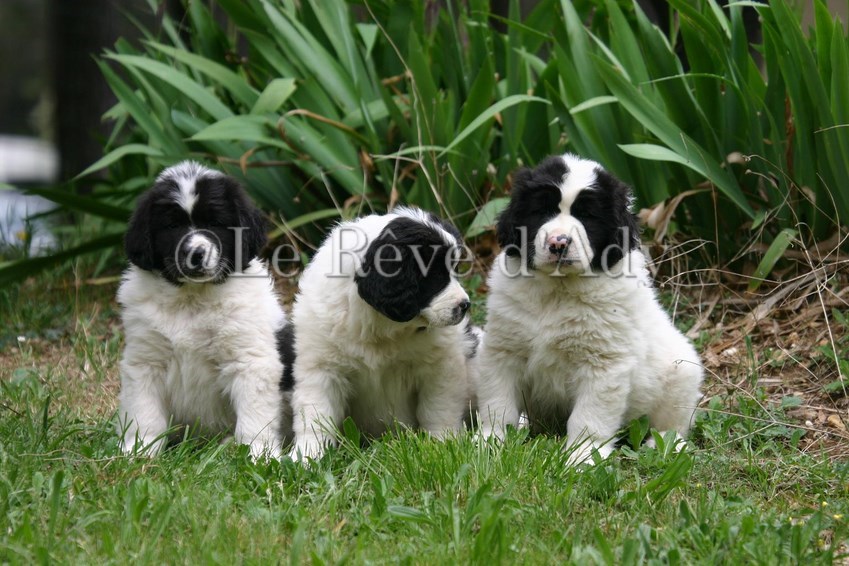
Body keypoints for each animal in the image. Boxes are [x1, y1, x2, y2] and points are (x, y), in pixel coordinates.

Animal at [117, 161, 288, 459]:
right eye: (172, 225)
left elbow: (255, 417)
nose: (196, 254)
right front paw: (139, 451)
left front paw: (258, 456)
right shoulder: (146, 361)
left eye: (215, 223)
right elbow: (144, 413)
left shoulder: (248, 358)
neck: (192, 300)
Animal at [286, 207, 479, 461]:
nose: (465, 305)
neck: (381, 330)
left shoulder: (440, 366)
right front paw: (307, 456)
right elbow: (316, 414)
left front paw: (441, 444)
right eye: (435, 274)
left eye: (454, 269)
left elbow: (438, 408)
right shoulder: (322, 367)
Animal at [475, 153, 703, 465]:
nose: (558, 242)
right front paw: (490, 442)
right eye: (542, 210)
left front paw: (582, 457)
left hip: (682, 373)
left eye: (587, 216)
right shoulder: (503, 350)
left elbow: (589, 417)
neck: (557, 292)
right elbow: (497, 403)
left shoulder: (603, 363)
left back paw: (667, 445)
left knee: (673, 423)